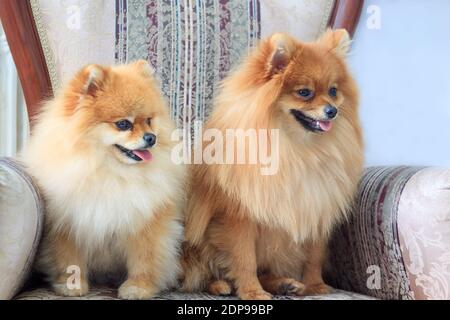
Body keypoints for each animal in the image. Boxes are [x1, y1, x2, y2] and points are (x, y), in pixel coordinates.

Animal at [22, 60, 185, 300]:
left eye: (149, 121)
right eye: (123, 124)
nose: (151, 137)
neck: (110, 172)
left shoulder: (146, 224)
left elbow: (144, 259)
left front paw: (138, 287)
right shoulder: (68, 222)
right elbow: (69, 257)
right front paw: (71, 284)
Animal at [181, 30, 364, 300]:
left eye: (333, 91)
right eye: (304, 93)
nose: (332, 110)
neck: (297, 149)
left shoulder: (317, 207)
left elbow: (314, 257)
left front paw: (316, 286)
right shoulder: (238, 219)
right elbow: (244, 259)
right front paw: (251, 292)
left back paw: (284, 284)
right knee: (199, 271)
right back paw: (220, 285)